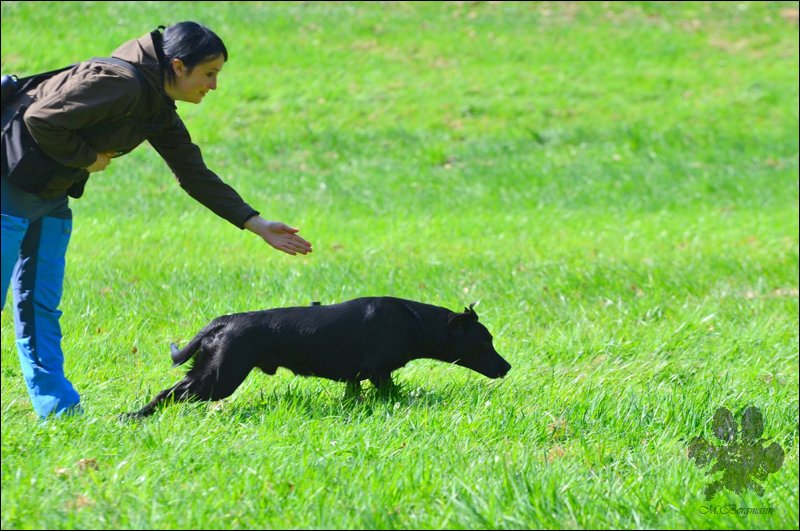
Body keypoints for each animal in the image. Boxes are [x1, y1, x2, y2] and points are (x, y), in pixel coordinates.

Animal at [126, 296, 511, 418]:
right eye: (484, 342)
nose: (506, 367)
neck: (413, 320)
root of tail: (224, 321)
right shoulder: (378, 372)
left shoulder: (358, 378)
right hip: (220, 378)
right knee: (169, 394)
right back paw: (133, 417)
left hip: (209, 373)